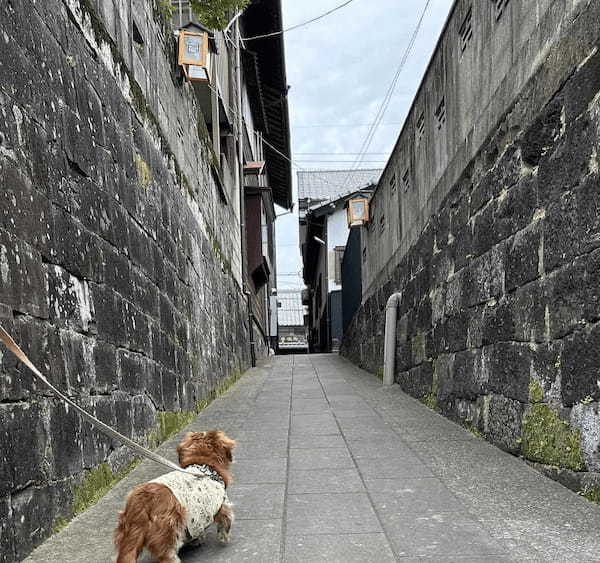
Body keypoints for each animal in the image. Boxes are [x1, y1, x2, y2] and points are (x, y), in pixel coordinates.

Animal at [113, 432, 236, 563]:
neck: (204, 467)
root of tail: (142, 500)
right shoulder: (222, 504)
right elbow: (225, 521)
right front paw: (224, 537)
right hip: (169, 530)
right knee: (166, 553)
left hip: (128, 533)